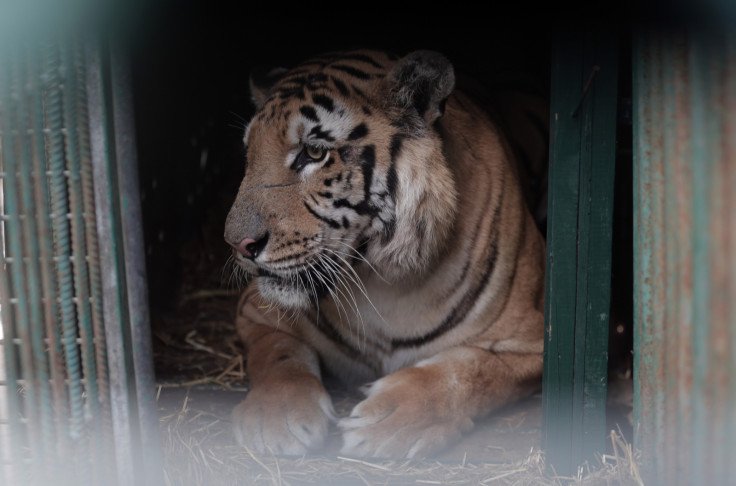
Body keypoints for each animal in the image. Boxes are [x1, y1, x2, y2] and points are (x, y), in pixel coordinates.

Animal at [224, 50, 548, 460]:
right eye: (249, 153)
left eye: (314, 152)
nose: (237, 244)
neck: (383, 282)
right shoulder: (255, 310)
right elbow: (277, 355)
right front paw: (275, 416)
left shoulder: (534, 341)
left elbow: (469, 371)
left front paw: (389, 421)